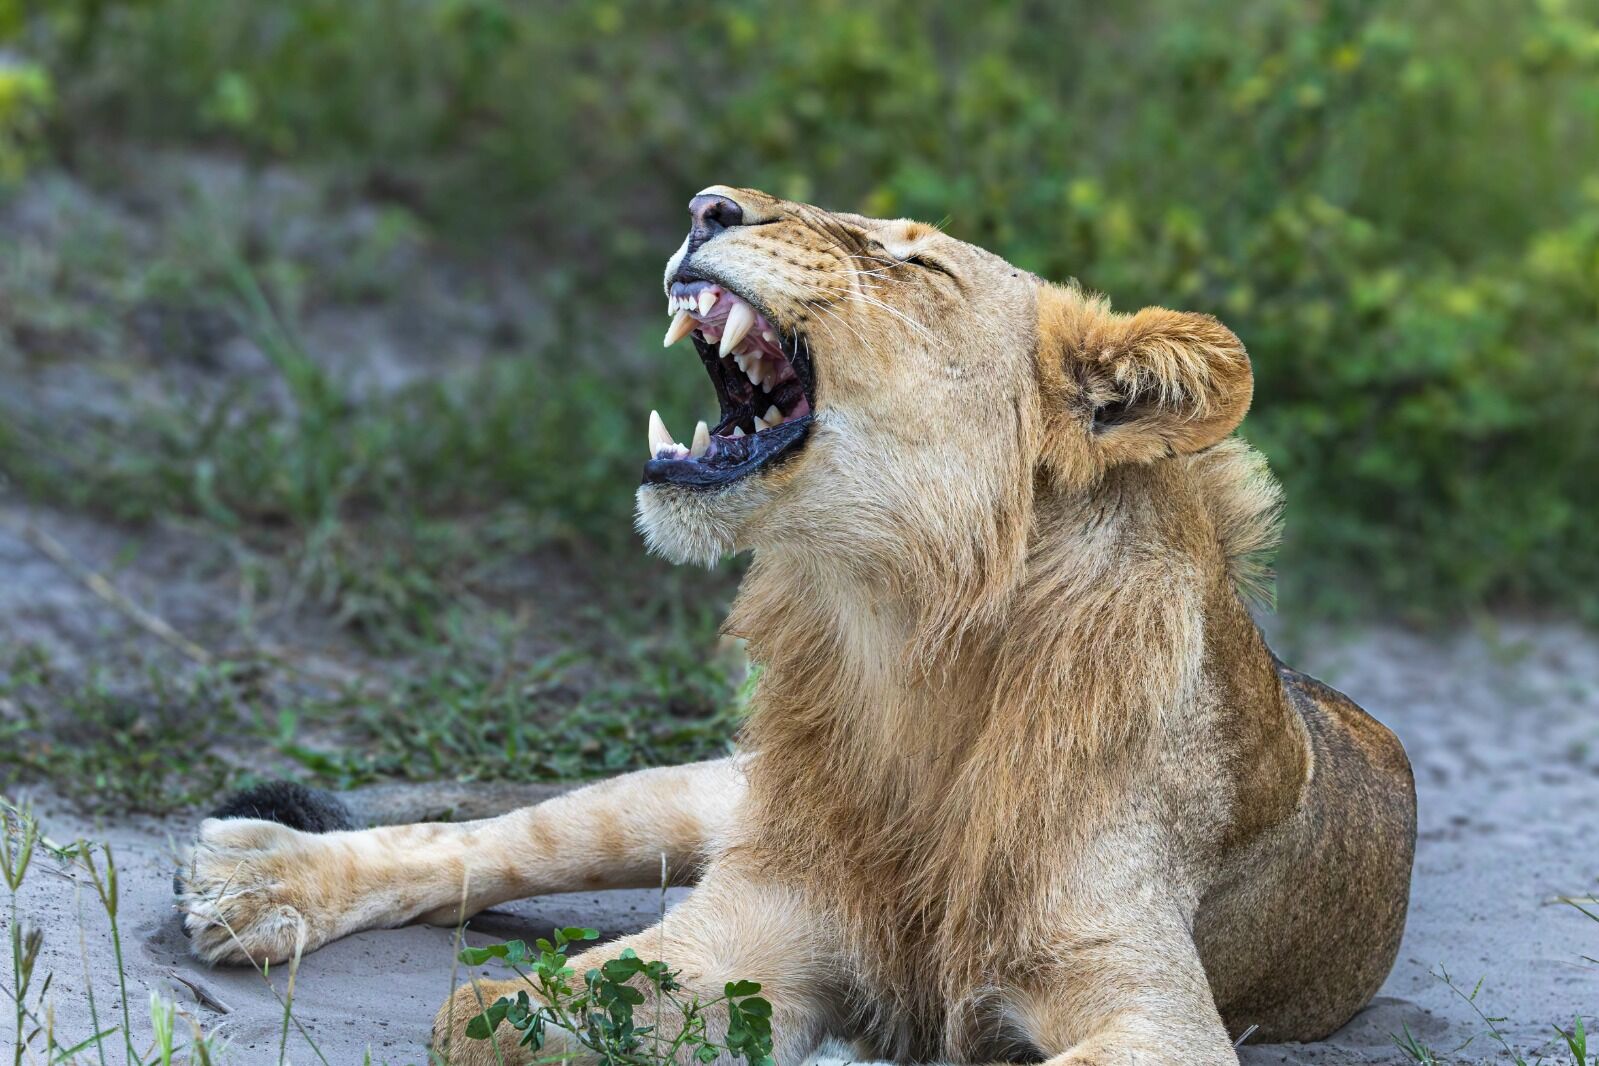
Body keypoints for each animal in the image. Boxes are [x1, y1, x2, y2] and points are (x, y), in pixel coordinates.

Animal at [176, 187, 1416, 1066]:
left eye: (912, 260)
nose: (706, 208)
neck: (907, 643)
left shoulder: (1156, 1010)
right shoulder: (759, 919)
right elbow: (518, 1012)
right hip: (710, 799)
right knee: (487, 841)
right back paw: (261, 879)